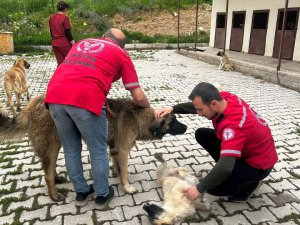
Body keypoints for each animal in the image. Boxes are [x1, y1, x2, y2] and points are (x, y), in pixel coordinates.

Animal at [0, 95, 186, 200]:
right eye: (174, 121)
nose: (186, 127)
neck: (138, 117)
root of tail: (29, 108)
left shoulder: (114, 149)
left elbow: (119, 167)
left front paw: (118, 177)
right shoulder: (122, 149)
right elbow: (125, 171)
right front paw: (127, 187)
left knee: (48, 168)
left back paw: (57, 179)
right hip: (52, 144)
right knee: (47, 174)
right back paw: (54, 194)